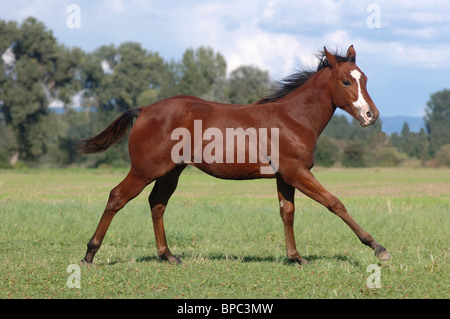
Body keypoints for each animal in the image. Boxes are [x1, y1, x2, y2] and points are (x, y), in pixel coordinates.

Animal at [77, 45, 390, 264]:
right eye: (346, 82)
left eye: (364, 79)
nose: (371, 115)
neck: (293, 119)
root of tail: (144, 110)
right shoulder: (297, 172)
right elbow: (334, 203)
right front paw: (377, 247)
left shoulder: (285, 176)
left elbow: (287, 212)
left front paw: (295, 257)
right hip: (145, 169)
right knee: (117, 197)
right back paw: (90, 254)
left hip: (171, 171)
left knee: (157, 203)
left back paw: (168, 255)